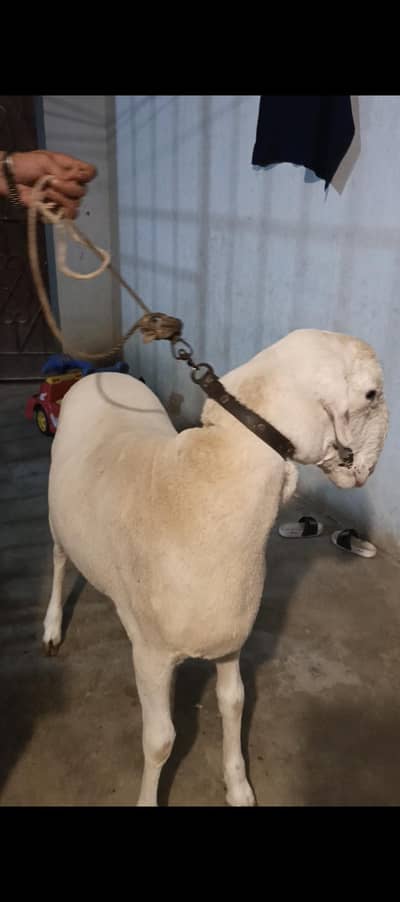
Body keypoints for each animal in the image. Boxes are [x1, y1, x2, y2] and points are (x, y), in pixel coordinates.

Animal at [43, 328, 388, 806]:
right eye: (372, 393)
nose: (369, 469)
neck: (205, 480)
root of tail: (100, 376)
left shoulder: (230, 639)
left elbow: (234, 703)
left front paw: (239, 785)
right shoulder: (151, 655)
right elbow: (160, 741)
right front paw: (149, 798)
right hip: (57, 521)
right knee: (59, 563)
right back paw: (52, 627)